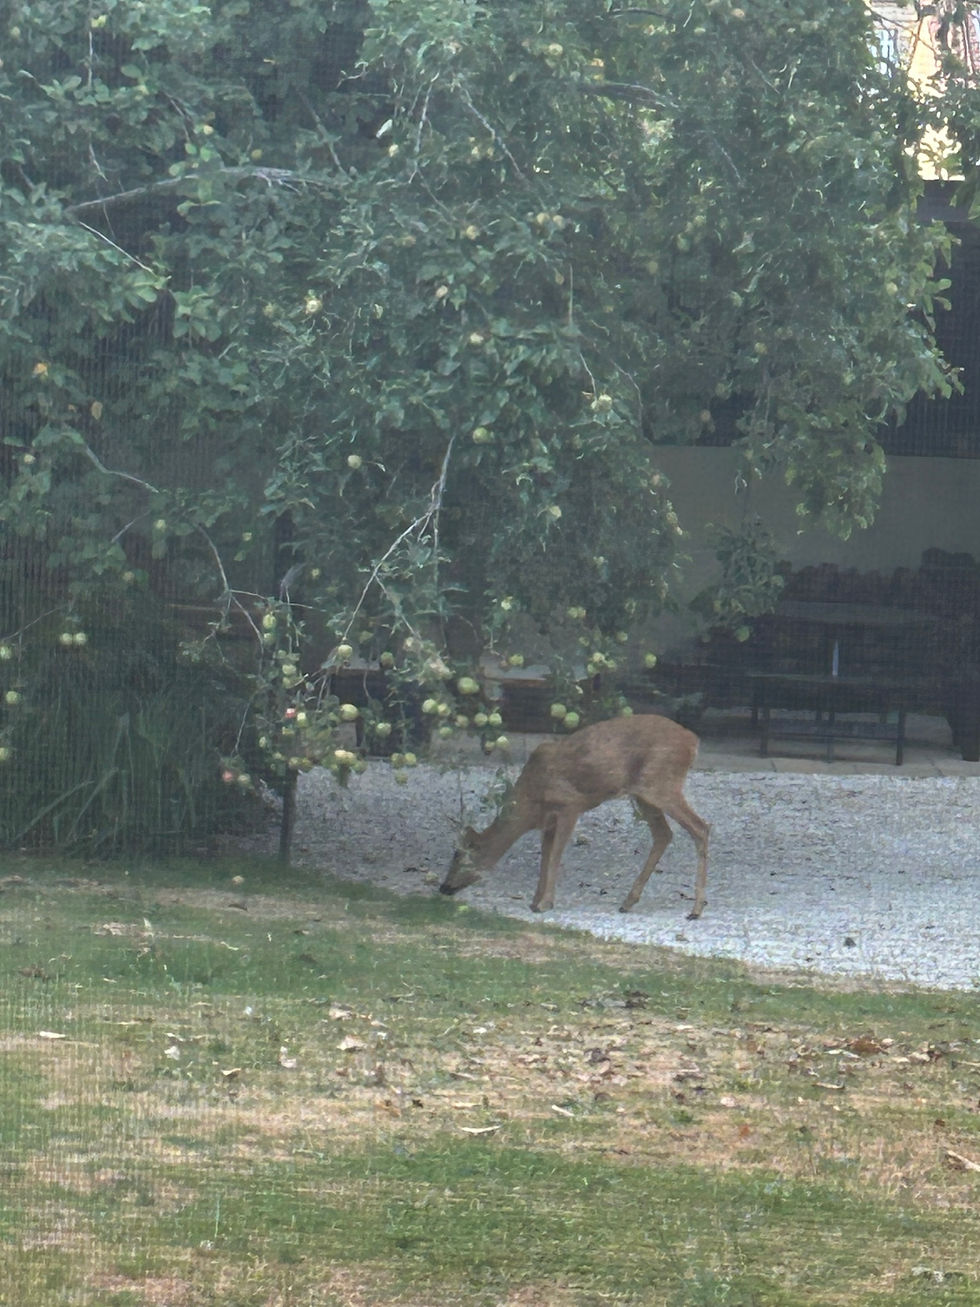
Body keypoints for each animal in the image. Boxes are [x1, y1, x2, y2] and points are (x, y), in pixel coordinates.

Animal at [440, 714, 709, 918]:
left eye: (460, 855)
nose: (443, 887)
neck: (530, 803)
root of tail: (693, 741)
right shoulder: (548, 821)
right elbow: (545, 856)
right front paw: (535, 901)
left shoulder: (570, 805)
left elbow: (556, 855)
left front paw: (545, 903)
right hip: (644, 794)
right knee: (664, 834)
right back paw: (628, 902)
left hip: (662, 784)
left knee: (701, 827)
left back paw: (695, 910)